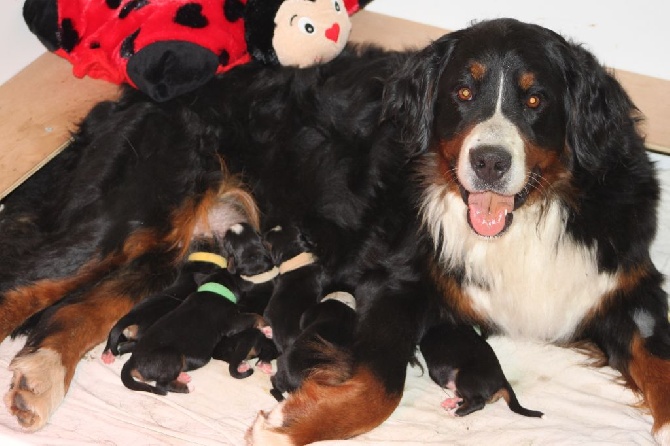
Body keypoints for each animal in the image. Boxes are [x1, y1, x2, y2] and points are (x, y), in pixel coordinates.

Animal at [121, 264, 268, 394]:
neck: (215, 289)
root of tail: (132, 362)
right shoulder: (231, 321)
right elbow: (255, 316)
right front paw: (266, 327)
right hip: (172, 356)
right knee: (163, 385)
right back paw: (188, 387)